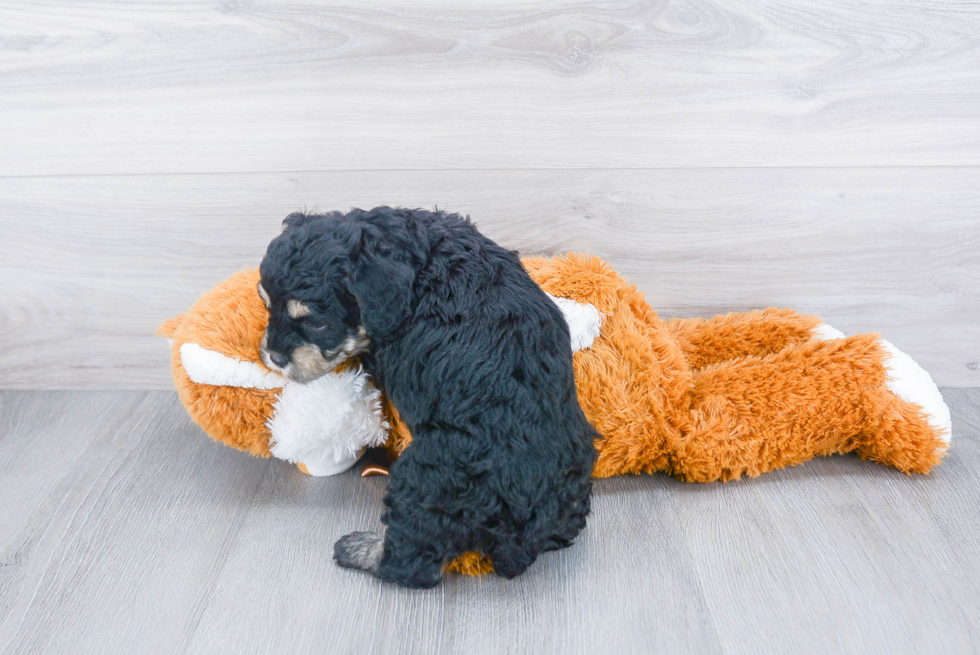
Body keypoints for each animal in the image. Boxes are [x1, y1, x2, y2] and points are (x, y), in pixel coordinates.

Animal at [260, 206, 596, 588]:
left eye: (317, 324)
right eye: (267, 306)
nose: (274, 357)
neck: (418, 260)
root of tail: (527, 522)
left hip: (426, 483)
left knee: (413, 560)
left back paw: (361, 550)